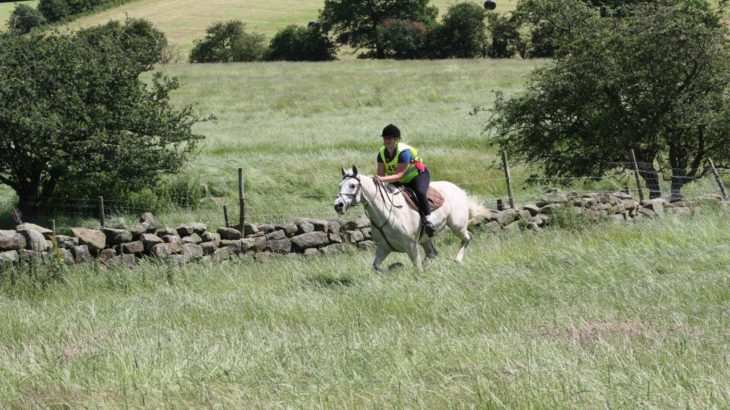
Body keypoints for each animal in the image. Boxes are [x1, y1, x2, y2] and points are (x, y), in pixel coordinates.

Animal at [332, 165, 486, 270]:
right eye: (339, 186)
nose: (338, 205)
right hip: (426, 238)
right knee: (432, 253)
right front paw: (394, 268)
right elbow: (376, 266)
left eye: (352, 185)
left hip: (457, 226)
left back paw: (457, 260)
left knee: (467, 238)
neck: (387, 214)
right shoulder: (384, 248)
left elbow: (417, 267)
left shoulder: (411, 246)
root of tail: (459, 190)